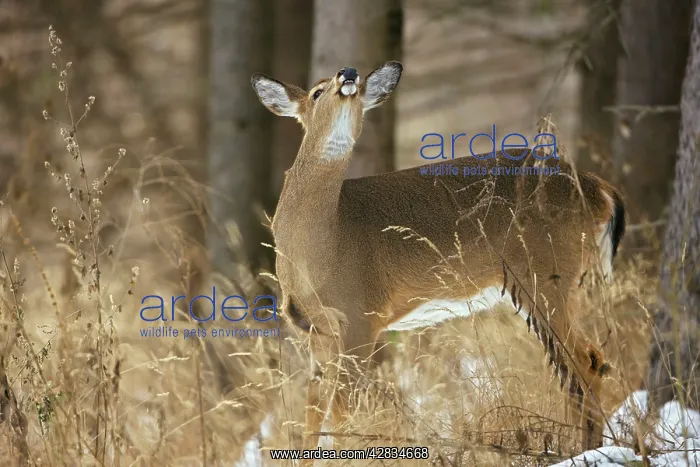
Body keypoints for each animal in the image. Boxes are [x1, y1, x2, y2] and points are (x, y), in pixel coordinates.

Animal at [251, 61, 626, 456]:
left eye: (356, 86)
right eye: (317, 92)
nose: (348, 73)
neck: (324, 242)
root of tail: (599, 188)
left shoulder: (360, 316)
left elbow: (341, 413)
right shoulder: (314, 330)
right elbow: (312, 416)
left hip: (546, 272)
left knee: (586, 361)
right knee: (583, 364)